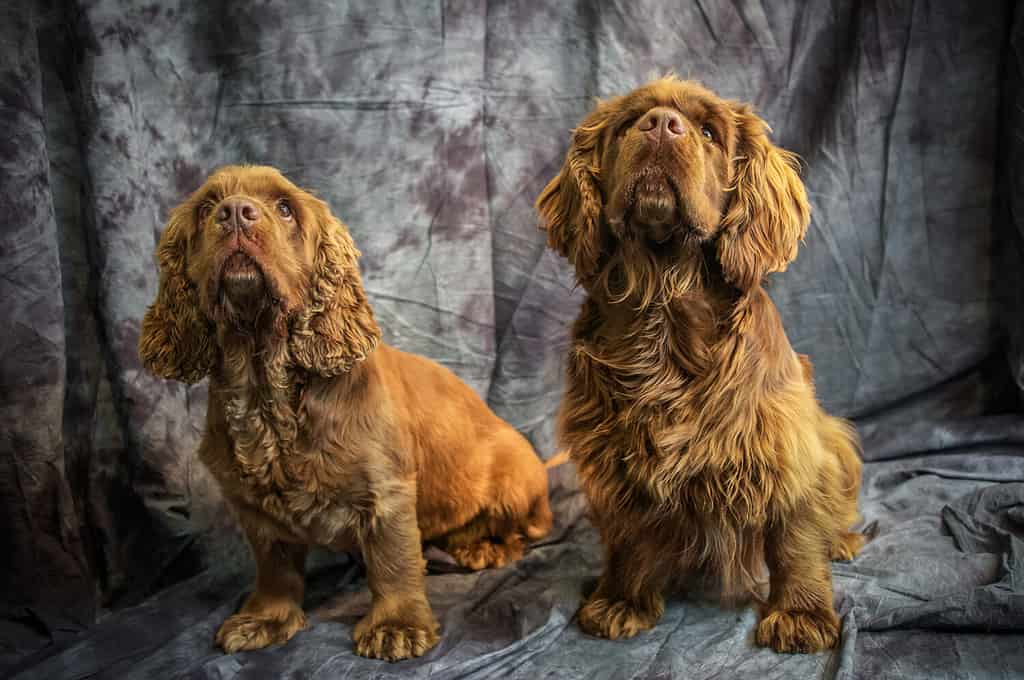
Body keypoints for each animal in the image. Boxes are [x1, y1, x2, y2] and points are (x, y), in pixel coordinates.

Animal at [141, 163, 557, 659]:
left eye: (285, 208)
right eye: (206, 208)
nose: (236, 213)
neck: (266, 384)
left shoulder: (387, 493)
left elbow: (393, 563)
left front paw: (397, 626)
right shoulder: (256, 511)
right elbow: (274, 569)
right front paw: (266, 619)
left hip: (513, 477)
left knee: (527, 532)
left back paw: (486, 549)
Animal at [536, 78, 864, 655]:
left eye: (709, 131)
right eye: (630, 123)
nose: (661, 125)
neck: (665, 301)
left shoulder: (788, 448)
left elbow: (795, 537)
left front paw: (800, 613)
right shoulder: (616, 455)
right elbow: (630, 536)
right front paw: (622, 600)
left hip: (834, 439)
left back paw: (841, 539)